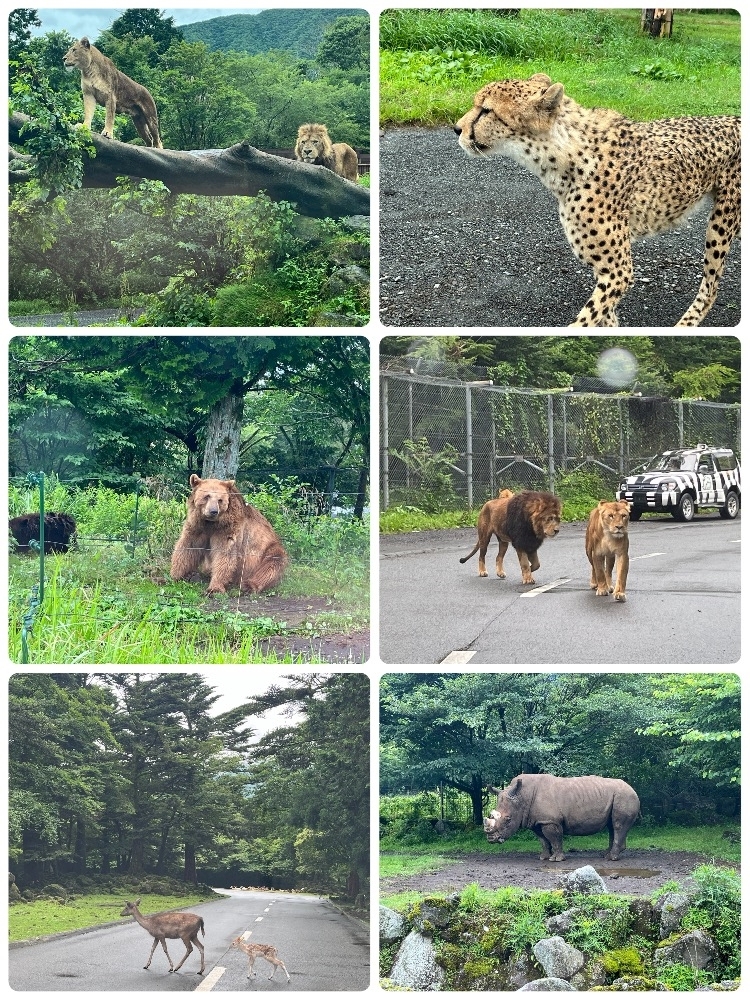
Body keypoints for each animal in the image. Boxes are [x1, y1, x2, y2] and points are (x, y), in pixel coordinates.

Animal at [456, 76, 744, 332]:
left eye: (486, 110)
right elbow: (605, 317)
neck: (567, 154)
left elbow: (586, 320)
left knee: (711, 287)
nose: (457, 129)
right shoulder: (605, 268)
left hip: (722, 221)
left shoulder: (619, 270)